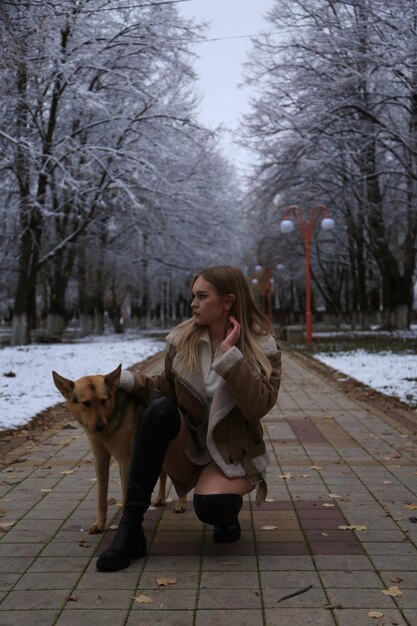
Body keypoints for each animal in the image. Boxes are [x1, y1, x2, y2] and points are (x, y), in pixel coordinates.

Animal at [52, 360, 185, 532]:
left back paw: (181, 503)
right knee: (163, 474)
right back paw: (161, 497)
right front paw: (100, 524)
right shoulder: (100, 459)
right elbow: (101, 495)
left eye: (103, 401)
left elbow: (125, 493)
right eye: (86, 403)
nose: (100, 426)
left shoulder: (126, 460)